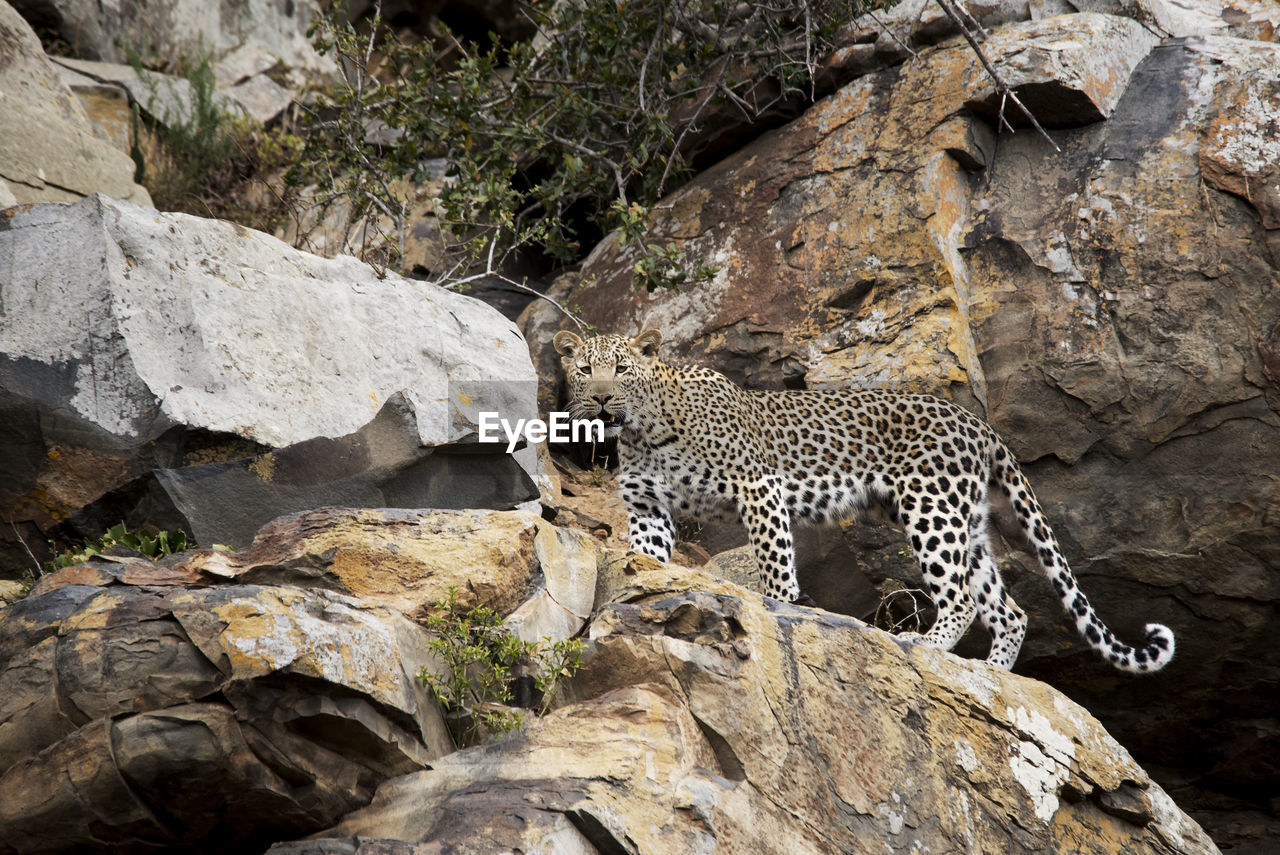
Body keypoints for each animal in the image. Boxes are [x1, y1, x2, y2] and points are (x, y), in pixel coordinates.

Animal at [555, 327, 1172, 675]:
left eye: (622, 369)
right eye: (585, 369)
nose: (603, 399)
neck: (645, 431)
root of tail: (978, 422)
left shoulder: (759, 487)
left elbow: (775, 565)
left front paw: (781, 607)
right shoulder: (646, 509)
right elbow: (649, 558)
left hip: (930, 507)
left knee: (960, 597)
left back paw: (925, 643)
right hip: (966, 523)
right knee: (1008, 610)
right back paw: (994, 673)